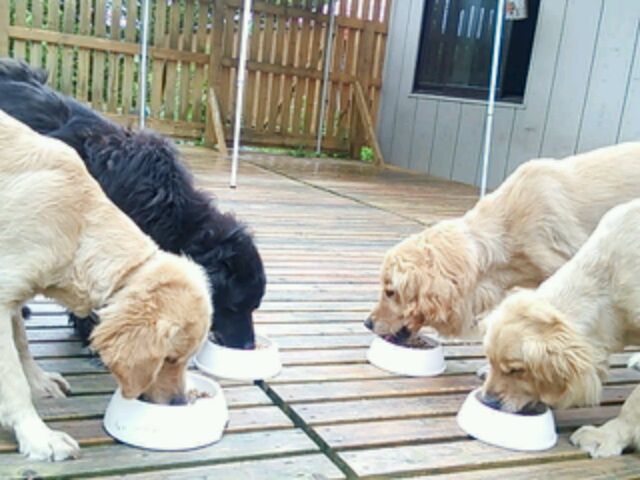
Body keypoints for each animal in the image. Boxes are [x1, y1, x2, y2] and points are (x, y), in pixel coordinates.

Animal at [0, 109, 212, 460]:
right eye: (168, 359)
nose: (179, 403)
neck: (78, 224)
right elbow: (12, 377)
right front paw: (38, 436)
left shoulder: (14, 291)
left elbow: (23, 347)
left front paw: (40, 383)